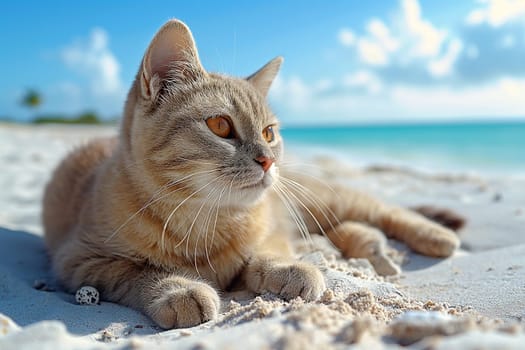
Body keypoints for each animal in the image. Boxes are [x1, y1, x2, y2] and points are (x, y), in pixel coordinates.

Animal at [42, 19, 458, 330]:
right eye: (220, 126)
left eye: (269, 133)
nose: (268, 160)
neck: (206, 219)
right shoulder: (80, 261)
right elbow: (137, 272)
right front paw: (177, 289)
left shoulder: (273, 226)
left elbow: (264, 252)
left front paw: (286, 268)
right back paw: (367, 245)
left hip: (323, 200)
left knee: (385, 211)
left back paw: (436, 236)